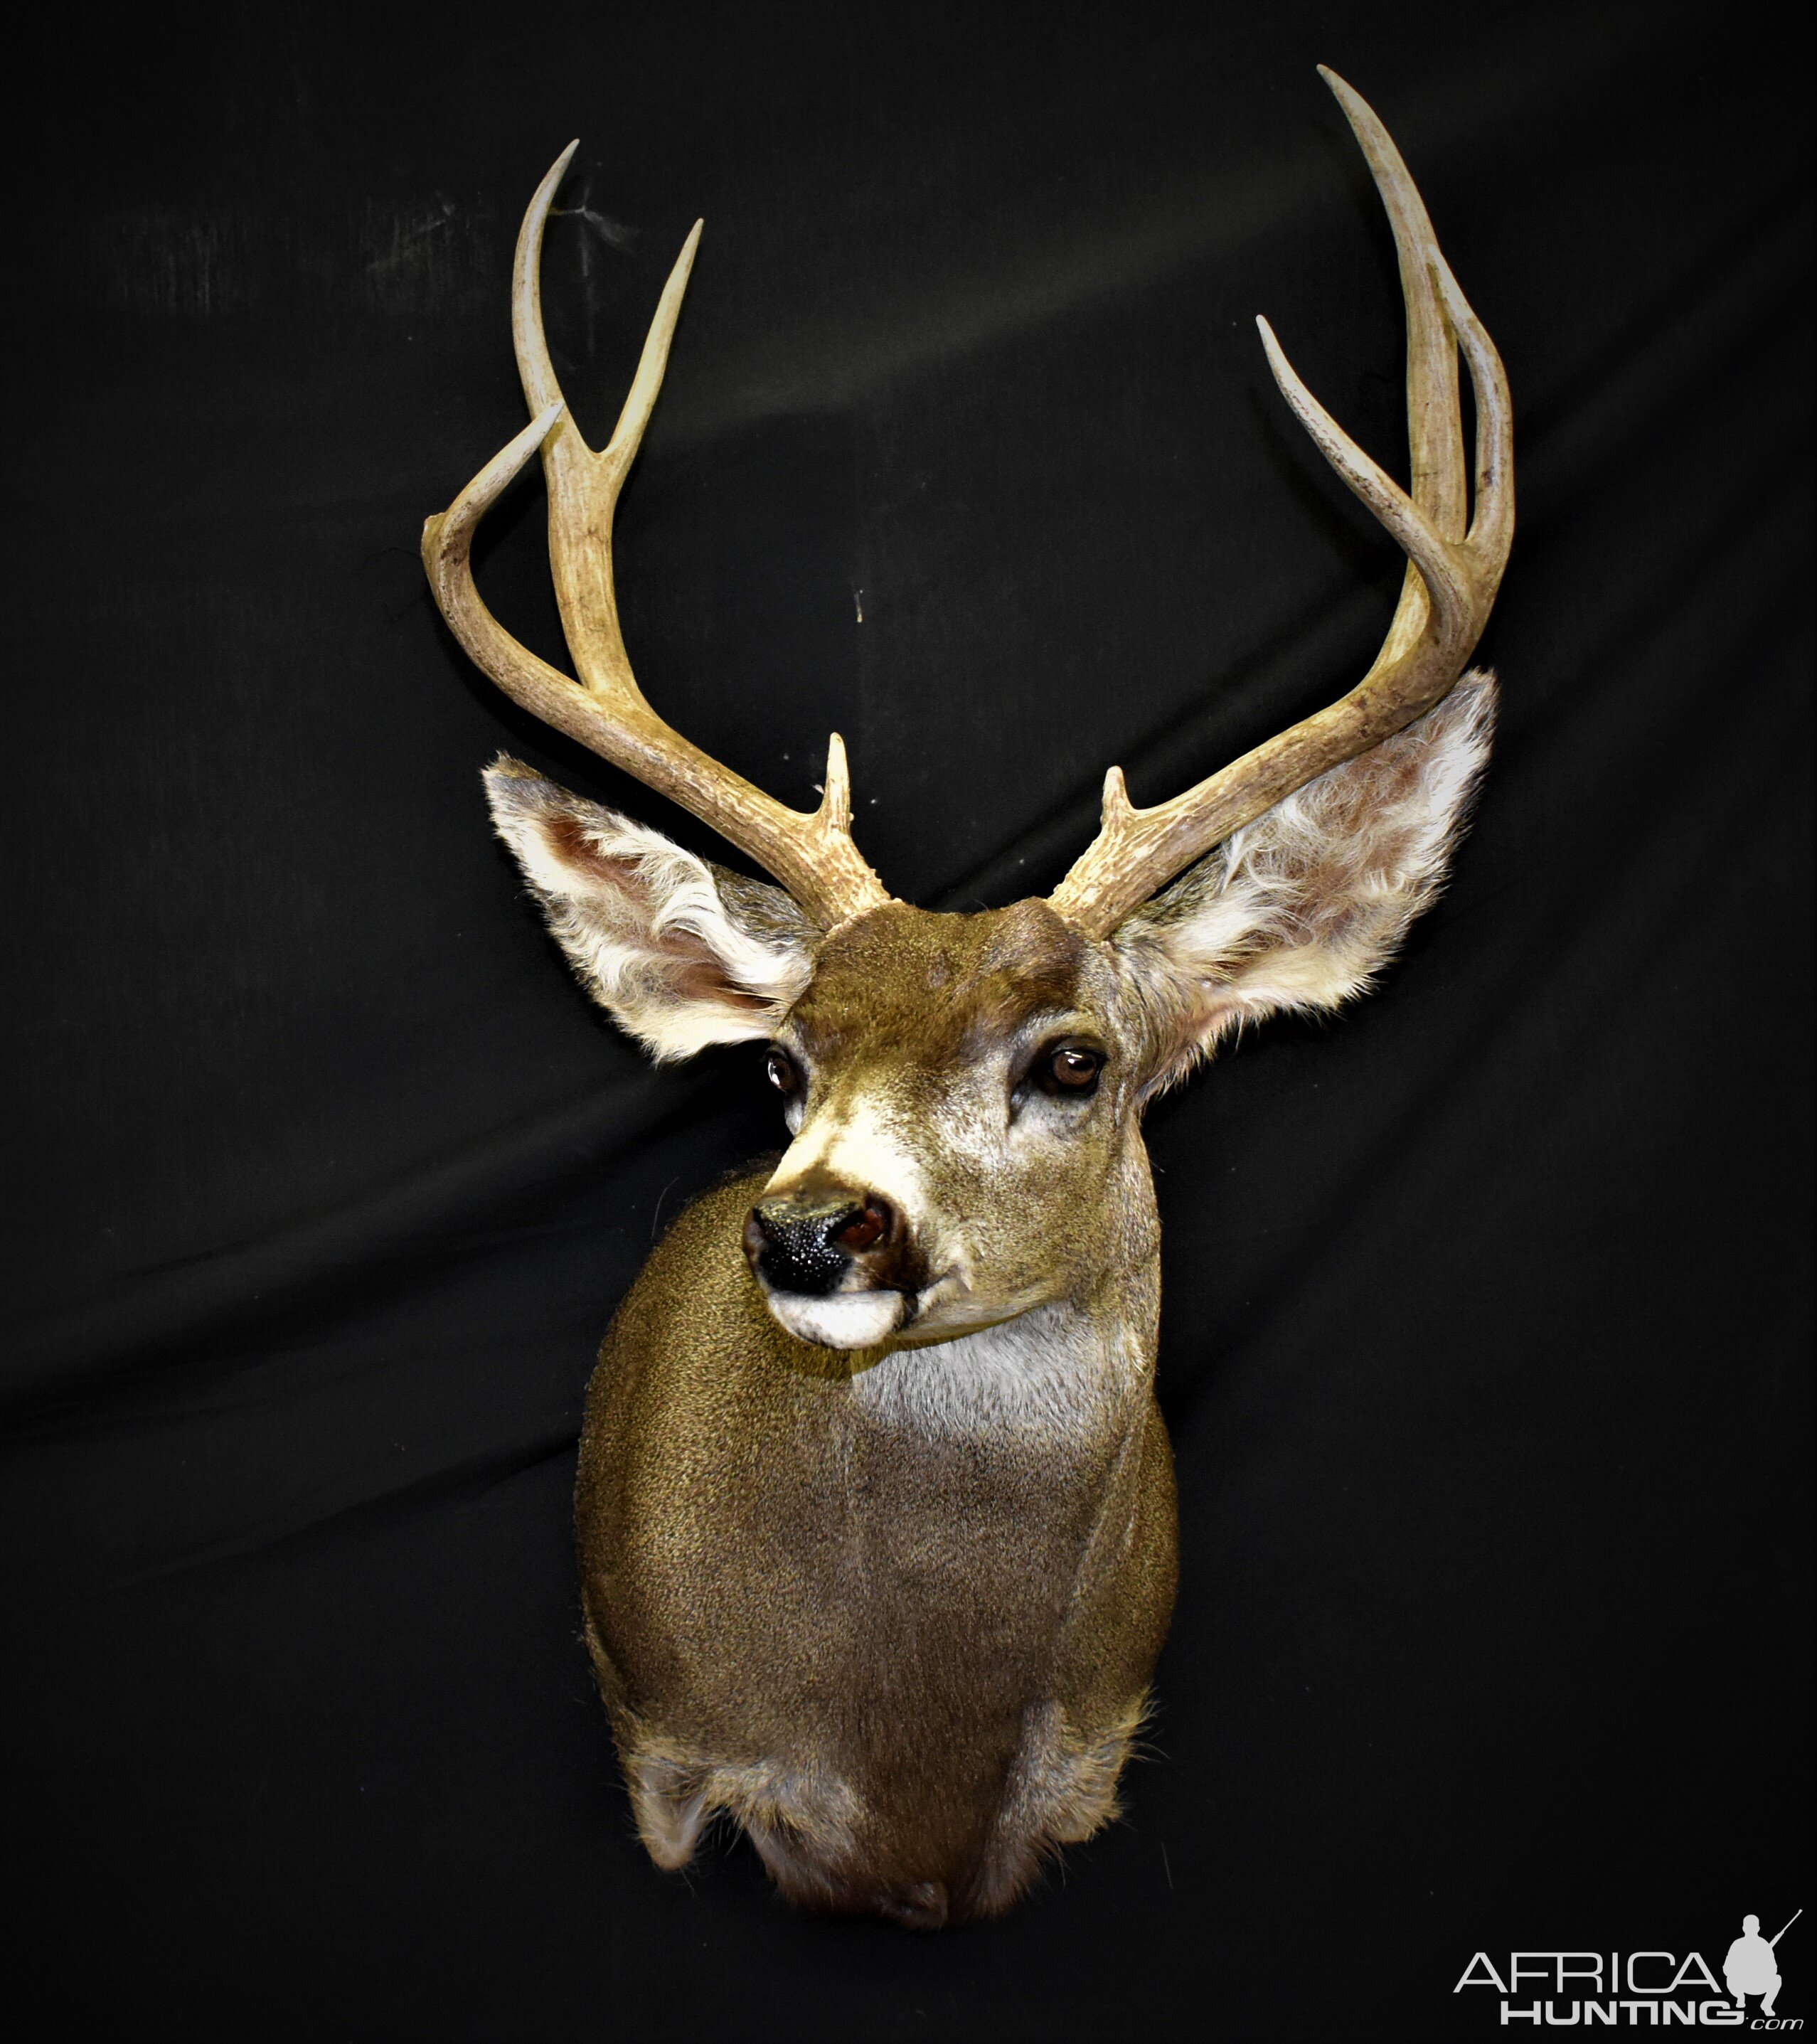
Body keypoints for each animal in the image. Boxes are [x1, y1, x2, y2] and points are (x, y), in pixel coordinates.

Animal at [420, 67, 1511, 1929]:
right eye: (781, 1067)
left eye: (1073, 1059)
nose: (808, 1228)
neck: (913, 1760)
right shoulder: (664, 1751)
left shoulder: (1092, 1760)